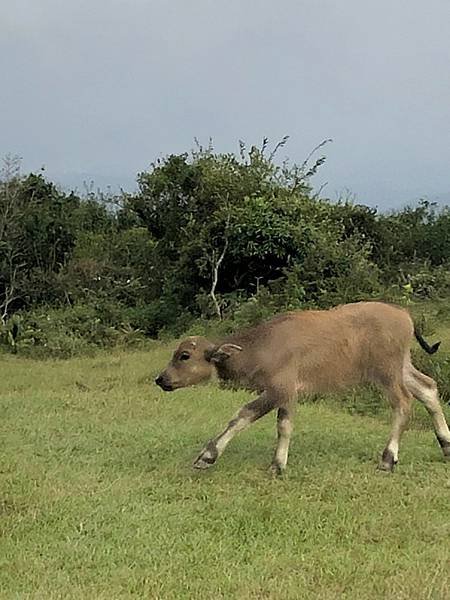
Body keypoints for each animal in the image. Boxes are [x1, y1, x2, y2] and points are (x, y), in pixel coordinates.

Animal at [156, 302, 450, 476]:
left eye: (184, 356)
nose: (161, 379)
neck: (262, 346)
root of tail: (404, 315)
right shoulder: (286, 394)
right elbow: (278, 424)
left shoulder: (279, 390)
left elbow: (246, 417)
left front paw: (209, 455)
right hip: (402, 366)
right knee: (428, 388)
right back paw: (446, 445)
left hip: (386, 372)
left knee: (403, 403)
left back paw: (388, 458)